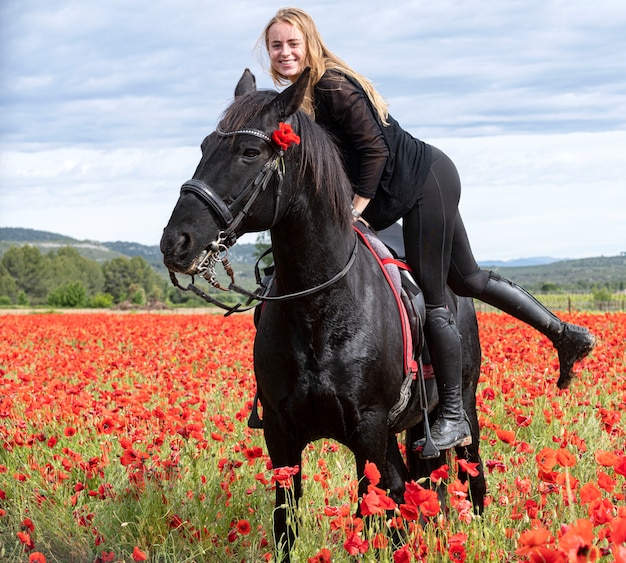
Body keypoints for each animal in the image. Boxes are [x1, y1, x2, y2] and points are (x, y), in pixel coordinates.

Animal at [160, 70, 482, 560]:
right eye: (203, 146)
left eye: (250, 152)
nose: (176, 241)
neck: (321, 311)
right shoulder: (282, 435)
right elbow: (286, 522)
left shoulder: (368, 430)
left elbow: (376, 512)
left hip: (463, 404)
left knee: (467, 475)